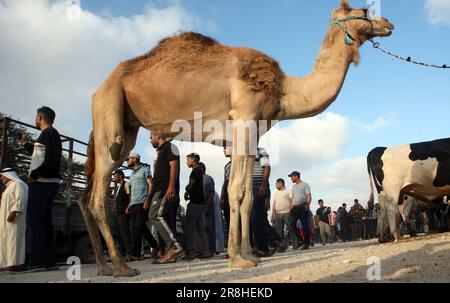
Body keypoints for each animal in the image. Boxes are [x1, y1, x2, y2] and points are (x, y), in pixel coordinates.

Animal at [81, 0, 394, 276]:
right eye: (365, 10)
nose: (389, 24)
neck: (284, 90)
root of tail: (99, 89)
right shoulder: (244, 119)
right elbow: (237, 191)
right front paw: (238, 258)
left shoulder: (251, 133)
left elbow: (246, 196)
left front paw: (248, 254)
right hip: (111, 112)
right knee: (98, 197)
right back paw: (121, 267)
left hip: (125, 127)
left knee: (87, 197)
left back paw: (103, 266)